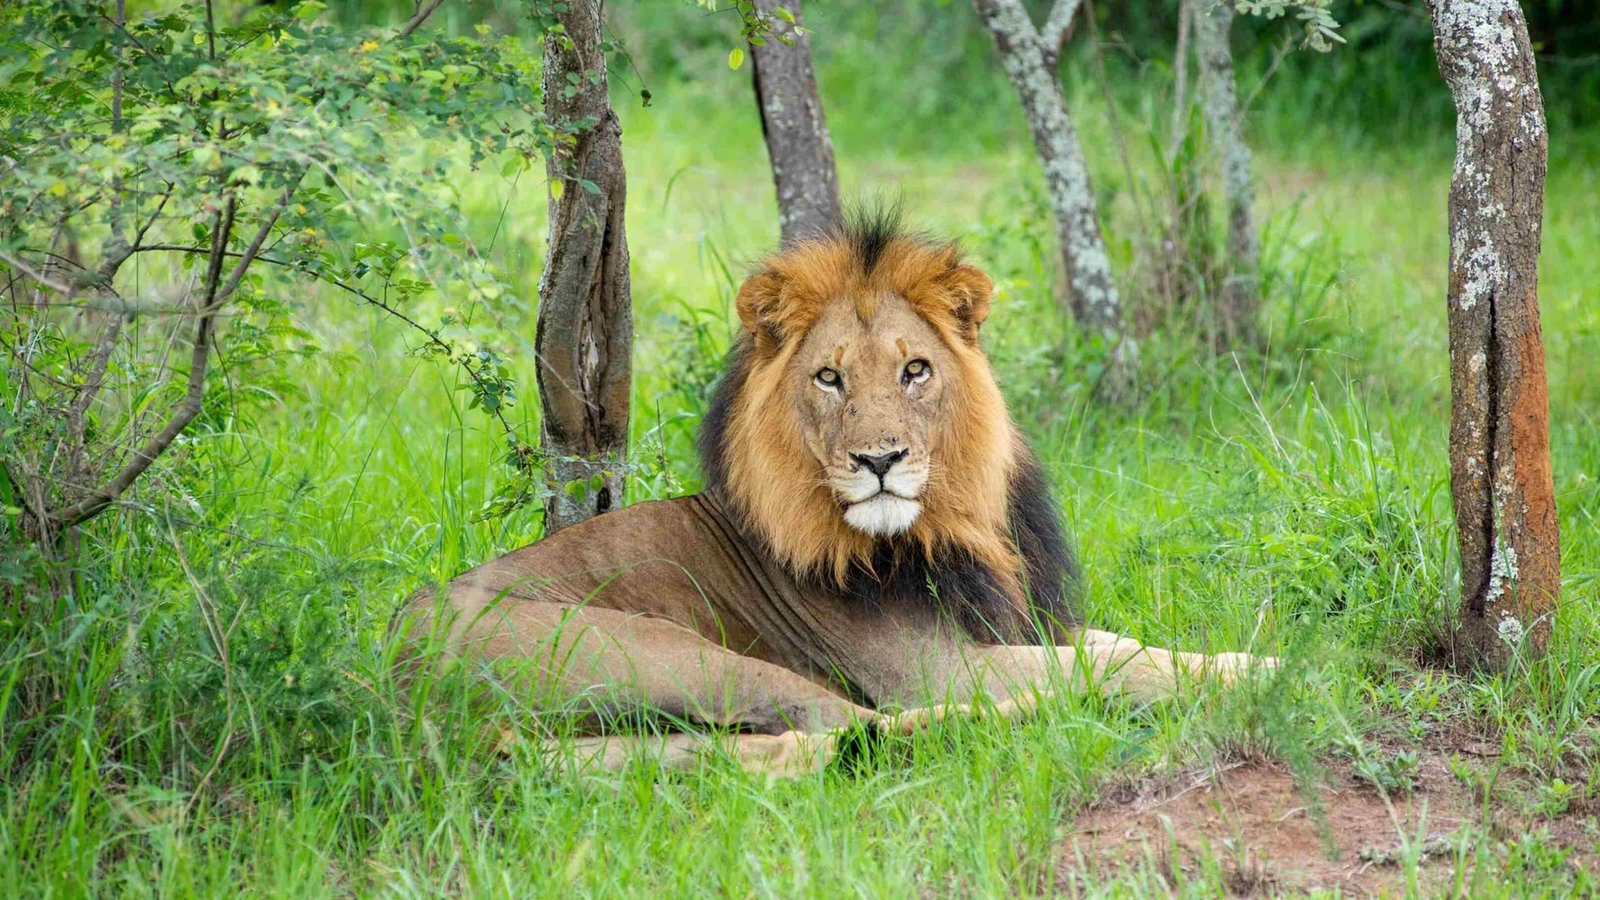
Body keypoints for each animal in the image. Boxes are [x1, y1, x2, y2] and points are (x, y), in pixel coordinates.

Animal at [400, 210, 1273, 775]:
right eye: (829, 377)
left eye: (914, 370)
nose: (880, 458)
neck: (951, 526)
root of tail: (387, 675)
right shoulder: (937, 666)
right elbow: (1114, 669)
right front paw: (1267, 672)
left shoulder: (1024, 624)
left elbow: (1124, 647)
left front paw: (1245, 657)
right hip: (668, 652)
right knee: (860, 721)